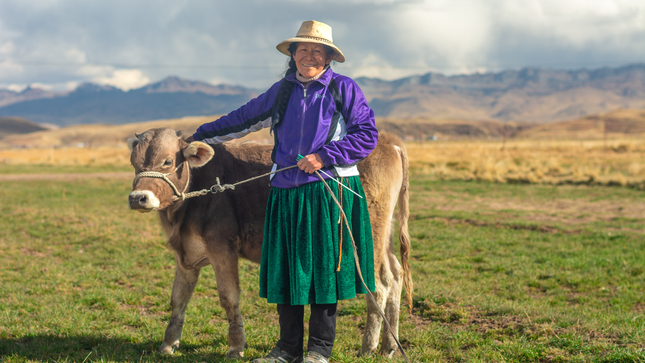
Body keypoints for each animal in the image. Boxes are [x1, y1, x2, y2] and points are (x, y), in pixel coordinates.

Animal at [127, 129, 410, 360]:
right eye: (134, 163)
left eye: (167, 161)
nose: (138, 198)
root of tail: (390, 142)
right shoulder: (185, 255)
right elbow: (178, 299)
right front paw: (168, 344)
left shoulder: (223, 249)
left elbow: (229, 298)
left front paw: (235, 347)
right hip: (385, 236)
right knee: (395, 277)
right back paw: (389, 346)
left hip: (368, 239)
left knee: (379, 285)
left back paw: (369, 346)